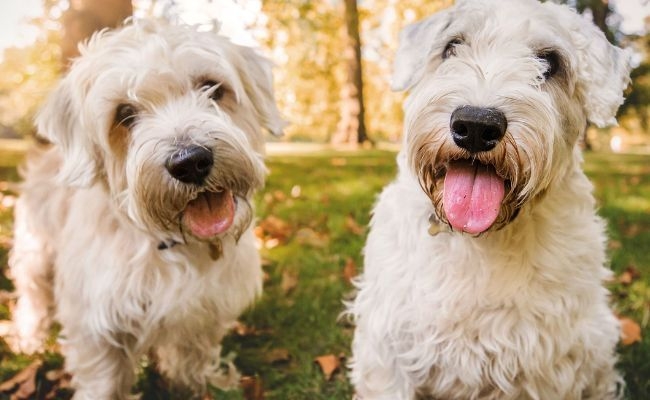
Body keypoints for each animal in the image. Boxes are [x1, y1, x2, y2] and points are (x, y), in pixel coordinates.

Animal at [7, 19, 280, 400]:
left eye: (211, 87)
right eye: (124, 114)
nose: (190, 162)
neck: (170, 243)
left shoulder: (204, 308)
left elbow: (192, 354)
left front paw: (198, 384)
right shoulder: (94, 318)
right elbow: (103, 376)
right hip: (35, 252)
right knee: (32, 297)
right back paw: (29, 338)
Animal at [350, 0, 628, 400]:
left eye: (551, 62)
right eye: (452, 46)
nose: (477, 126)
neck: (479, 240)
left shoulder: (546, 361)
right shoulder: (389, 345)